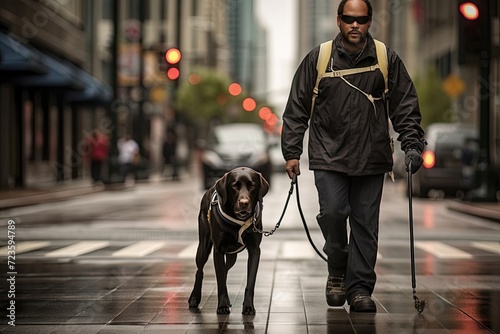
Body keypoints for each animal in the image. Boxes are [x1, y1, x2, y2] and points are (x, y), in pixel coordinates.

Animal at [188, 168, 270, 314]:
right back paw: (194, 298)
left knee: (225, 270)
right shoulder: (218, 250)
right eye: (234, 186)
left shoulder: (255, 250)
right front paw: (222, 306)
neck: (238, 221)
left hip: (232, 256)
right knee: (200, 271)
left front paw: (248, 306)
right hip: (203, 246)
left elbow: (250, 281)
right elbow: (220, 279)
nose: (244, 203)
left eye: (252, 185)